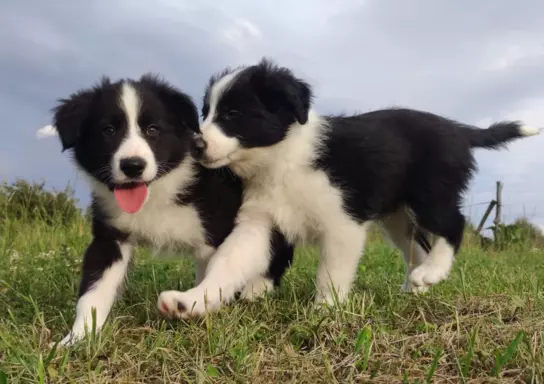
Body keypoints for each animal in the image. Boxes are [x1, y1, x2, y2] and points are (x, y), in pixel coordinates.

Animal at [46, 73, 294, 346]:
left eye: (152, 130)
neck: (158, 191)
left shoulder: (217, 230)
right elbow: (93, 291)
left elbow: (219, 271)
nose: (133, 166)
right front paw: (76, 339)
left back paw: (257, 289)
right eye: (108, 130)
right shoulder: (110, 236)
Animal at [157, 57, 540, 318]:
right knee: (417, 247)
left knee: (453, 226)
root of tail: (459, 130)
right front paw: (192, 300)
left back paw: (432, 273)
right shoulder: (258, 223)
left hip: (431, 193)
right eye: (206, 112)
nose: (195, 145)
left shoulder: (343, 222)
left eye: (233, 114)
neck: (282, 161)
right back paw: (415, 286)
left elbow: (331, 271)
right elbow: (228, 261)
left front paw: (326, 309)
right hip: (397, 217)